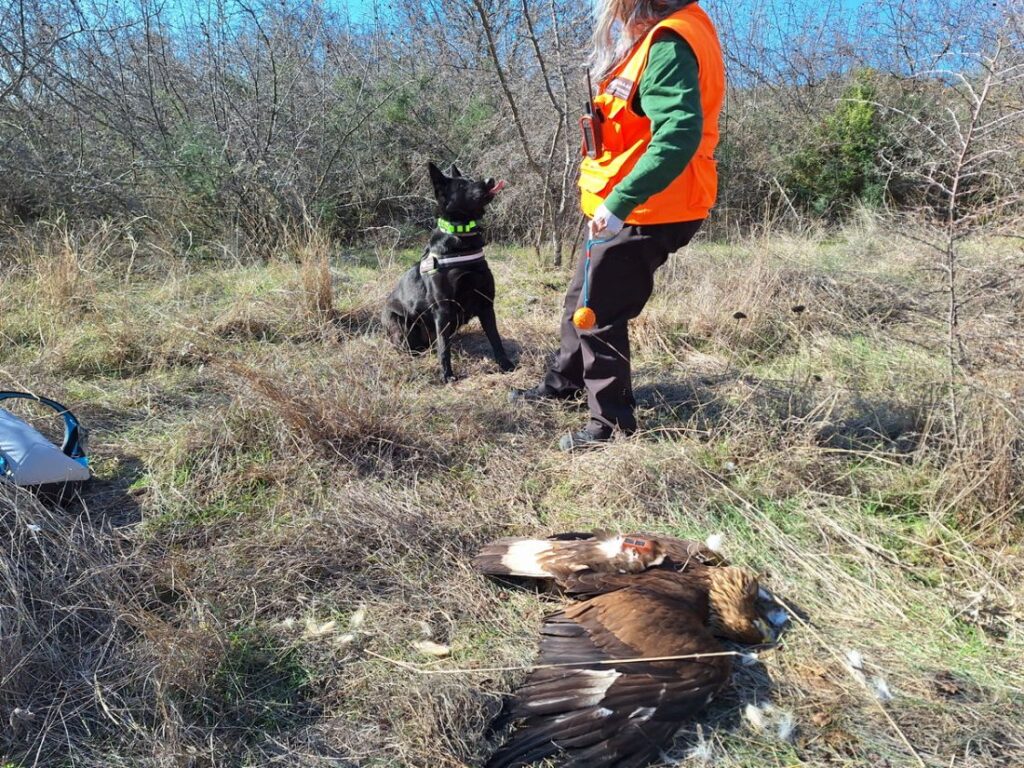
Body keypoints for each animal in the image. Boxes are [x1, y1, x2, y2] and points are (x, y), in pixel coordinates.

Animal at [382, 160, 516, 382]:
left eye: (471, 179)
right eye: (461, 186)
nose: (490, 180)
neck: (462, 237)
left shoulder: (486, 304)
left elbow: (495, 339)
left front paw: (505, 364)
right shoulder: (443, 308)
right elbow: (444, 348)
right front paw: (447, 375)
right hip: (400, 322)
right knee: (415, 346)